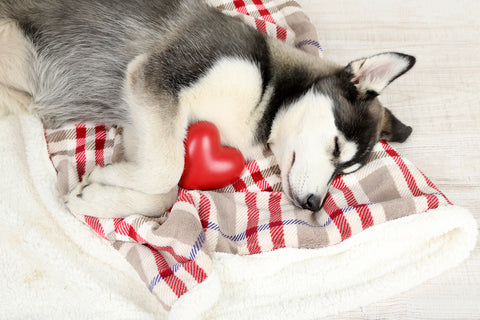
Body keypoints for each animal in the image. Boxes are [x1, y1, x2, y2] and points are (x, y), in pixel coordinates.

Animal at [0, 0, 414, 218]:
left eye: (345, 172)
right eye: (335, 147)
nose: (314, 204)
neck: (267, 91)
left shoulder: (142, 119)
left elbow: (166, 190)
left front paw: (100, 192)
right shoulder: (156, 76)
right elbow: (168, 168)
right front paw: (103, 180)